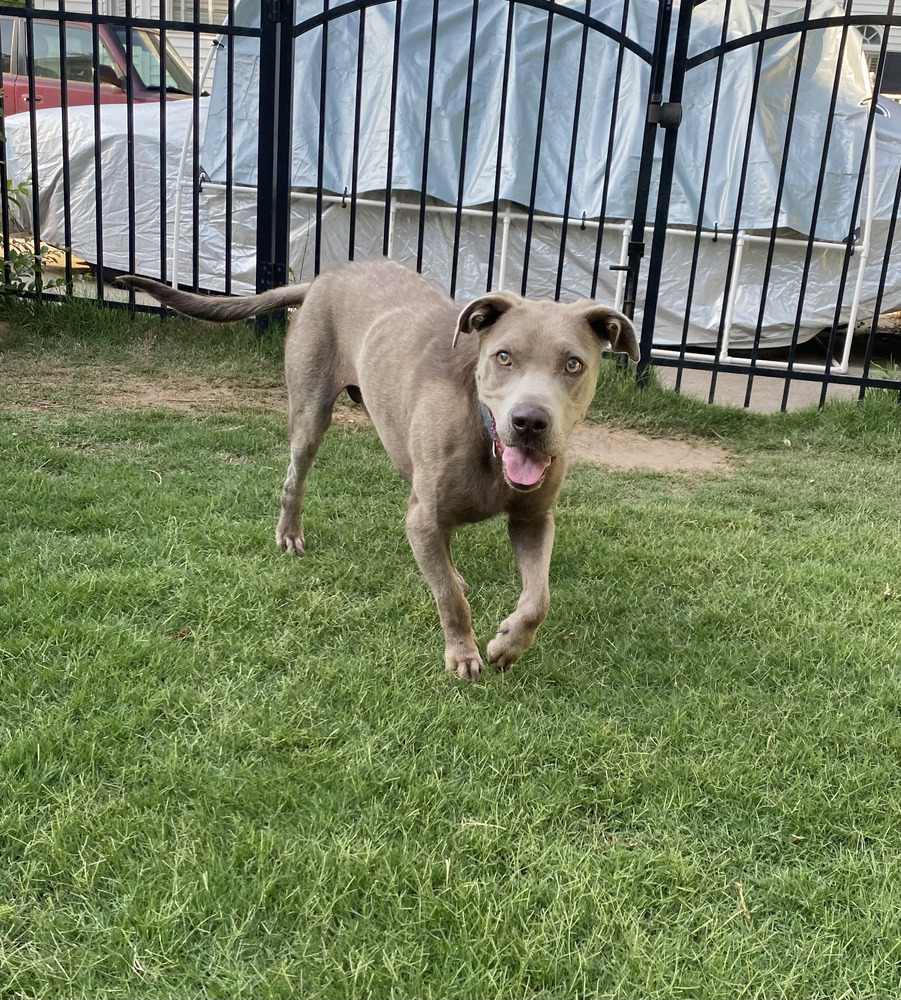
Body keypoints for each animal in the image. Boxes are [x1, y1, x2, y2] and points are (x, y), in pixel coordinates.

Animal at [121, 258, 640, 680]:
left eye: (573, 365)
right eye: (504, 356)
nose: (530, 421)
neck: (486, 440)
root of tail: (325, 276)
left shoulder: (533, 520)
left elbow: (538, 600)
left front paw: (507, 645)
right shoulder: (425, 517)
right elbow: (450, 599)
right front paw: (464, 652)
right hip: (310, 412)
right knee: (294, 480)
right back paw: (290, 533)